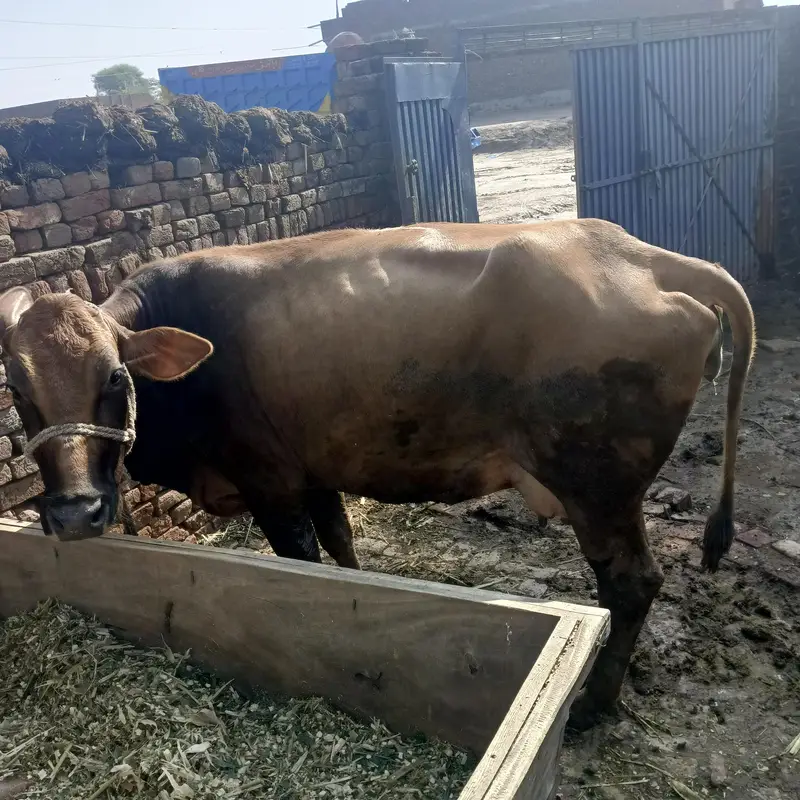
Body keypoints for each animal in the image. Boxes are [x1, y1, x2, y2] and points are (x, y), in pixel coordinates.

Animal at [0, 219, 754, 728]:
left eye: (114, 376)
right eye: (17, 386)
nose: (74, 512)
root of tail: (644, 256)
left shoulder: (270, 483)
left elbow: (304, 564)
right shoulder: (313, 474)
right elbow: (343, 554)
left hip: (599, 489)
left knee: (632, 585)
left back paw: (595, 705)